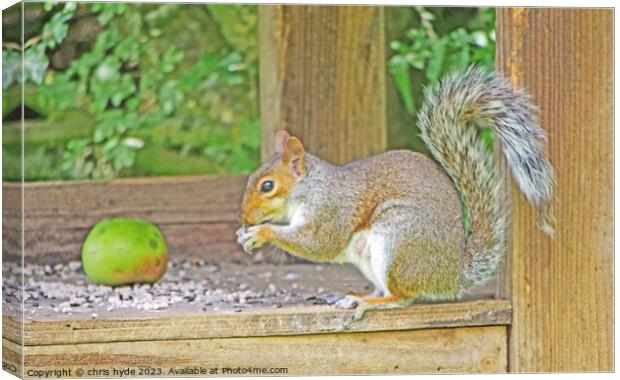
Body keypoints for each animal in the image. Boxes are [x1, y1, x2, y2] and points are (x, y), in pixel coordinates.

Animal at [235, 67, 556, 320]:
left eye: (267, 186)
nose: (244, 217)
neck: (310, 187)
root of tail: (451, 274)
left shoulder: (331, 208)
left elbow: (318, 243)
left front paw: (261, 233)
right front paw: (244, 234)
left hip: (397, 237)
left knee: (402, 297)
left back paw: (367, 303)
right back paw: (357, 296)